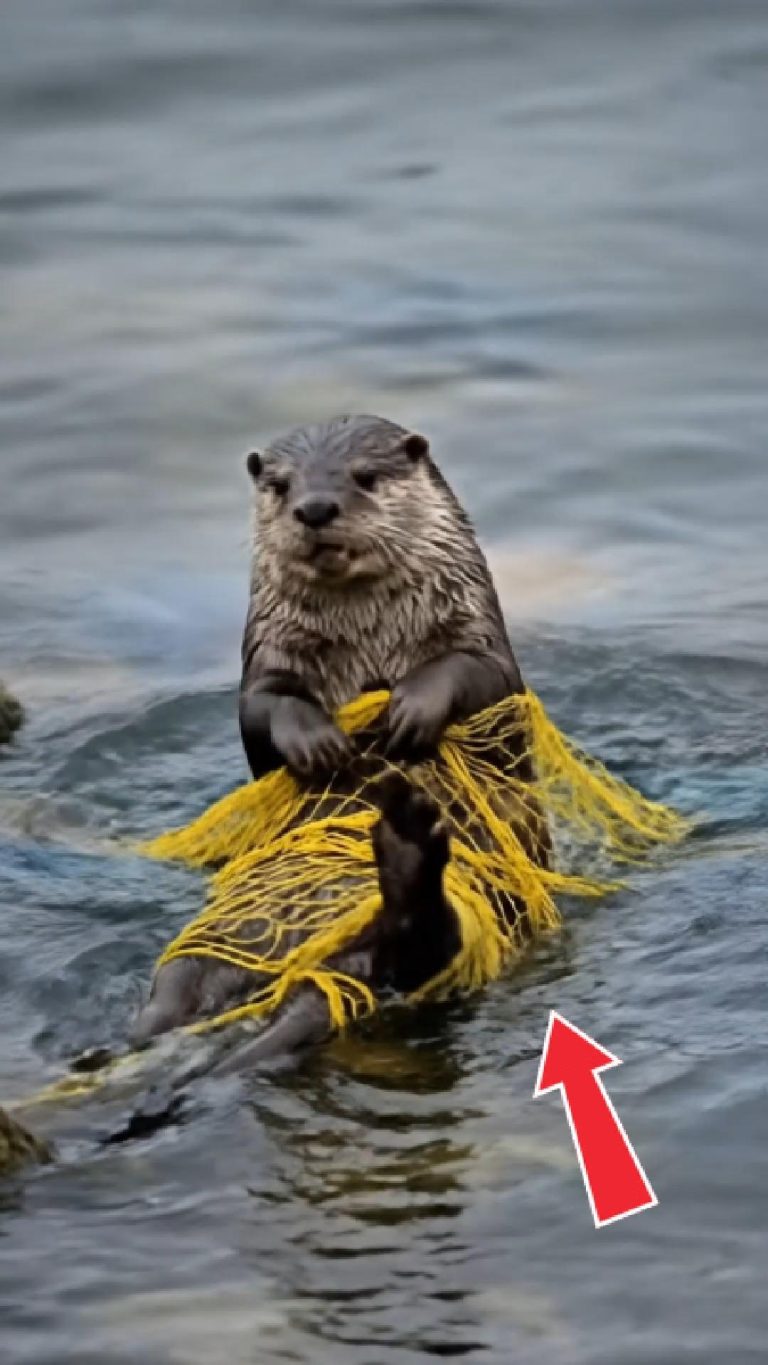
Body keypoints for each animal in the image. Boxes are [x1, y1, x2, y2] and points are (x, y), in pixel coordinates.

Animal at [130, 416, 541, 1069]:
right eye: (280, 485)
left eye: (364, 476)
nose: (315, 508)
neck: (369, 635)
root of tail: (315, 966)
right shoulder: (267, 651)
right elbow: (262, 707)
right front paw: (318, 742)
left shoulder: (479, 633)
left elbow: (471, 673)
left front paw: (408, 710)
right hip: (212, 949)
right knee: (177, 988)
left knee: (424, 951)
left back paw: (403, 844)